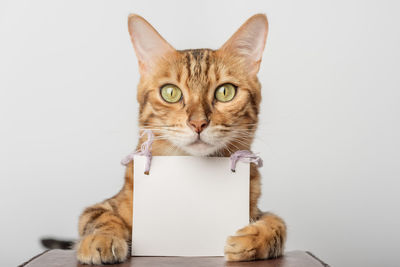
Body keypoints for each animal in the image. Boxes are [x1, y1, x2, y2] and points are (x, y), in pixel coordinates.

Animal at [76, 14, 288, 266]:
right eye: (170, 92)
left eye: (225, 92)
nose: (198, 123)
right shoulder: (103, 206)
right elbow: (100, 217)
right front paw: (101, 239)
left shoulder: (257, 210)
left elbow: (278, 224)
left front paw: (251, 240)